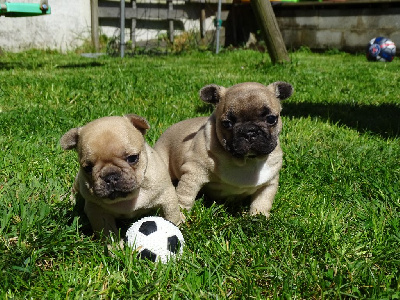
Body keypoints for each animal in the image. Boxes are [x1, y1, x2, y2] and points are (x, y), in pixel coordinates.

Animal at [155, 81, 292, 218]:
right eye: (227, 123)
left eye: (271, 119)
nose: (249, 131)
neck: (247, 161)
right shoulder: (194, 172)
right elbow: (185, 197)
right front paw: (180, 217)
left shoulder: (269, 183)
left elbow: (263, 201)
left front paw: (258, 218)